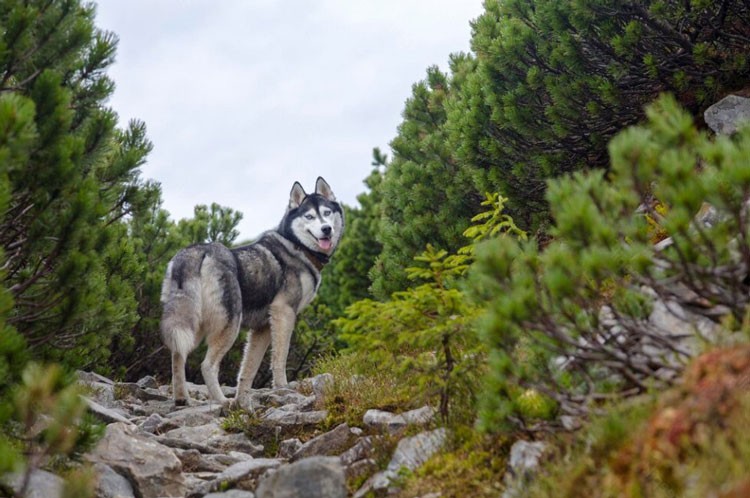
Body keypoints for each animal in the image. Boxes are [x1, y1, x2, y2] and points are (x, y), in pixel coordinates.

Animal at [162, 176, 346, 408]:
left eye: (327, 212)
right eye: (309, 216)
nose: (326, 229)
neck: (297, 246)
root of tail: (195, 253)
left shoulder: (262, 328)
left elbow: (248, 369)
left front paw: (243, 400)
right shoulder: (284, 313)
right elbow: (280, 357)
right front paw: (282, 387)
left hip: (190, 327)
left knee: (177, 356)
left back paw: (182, 399)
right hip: (229, 326)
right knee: (207, 364)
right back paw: (222, 401)